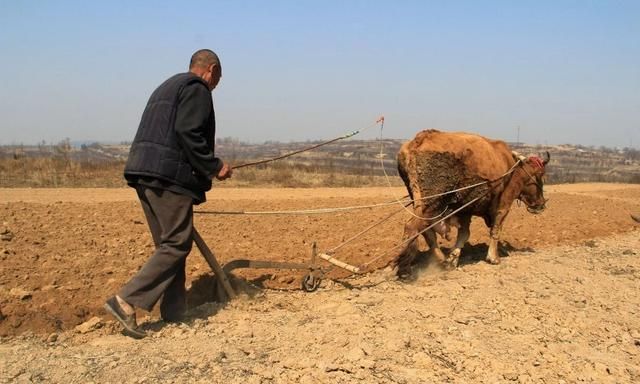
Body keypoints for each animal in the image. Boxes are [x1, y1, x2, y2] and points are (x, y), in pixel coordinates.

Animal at [392, 129, 548, 276]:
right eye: (540, 175)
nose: (541, 204)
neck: (511, 166)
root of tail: (419, 140)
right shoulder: (504, 204)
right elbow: (496, 229)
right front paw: (493, 257)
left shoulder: (465, 210)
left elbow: (464, 234)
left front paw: (453, 259)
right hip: (431, 202)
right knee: (413, 227)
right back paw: (404, 268)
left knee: (425, 230)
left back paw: (441, 260)